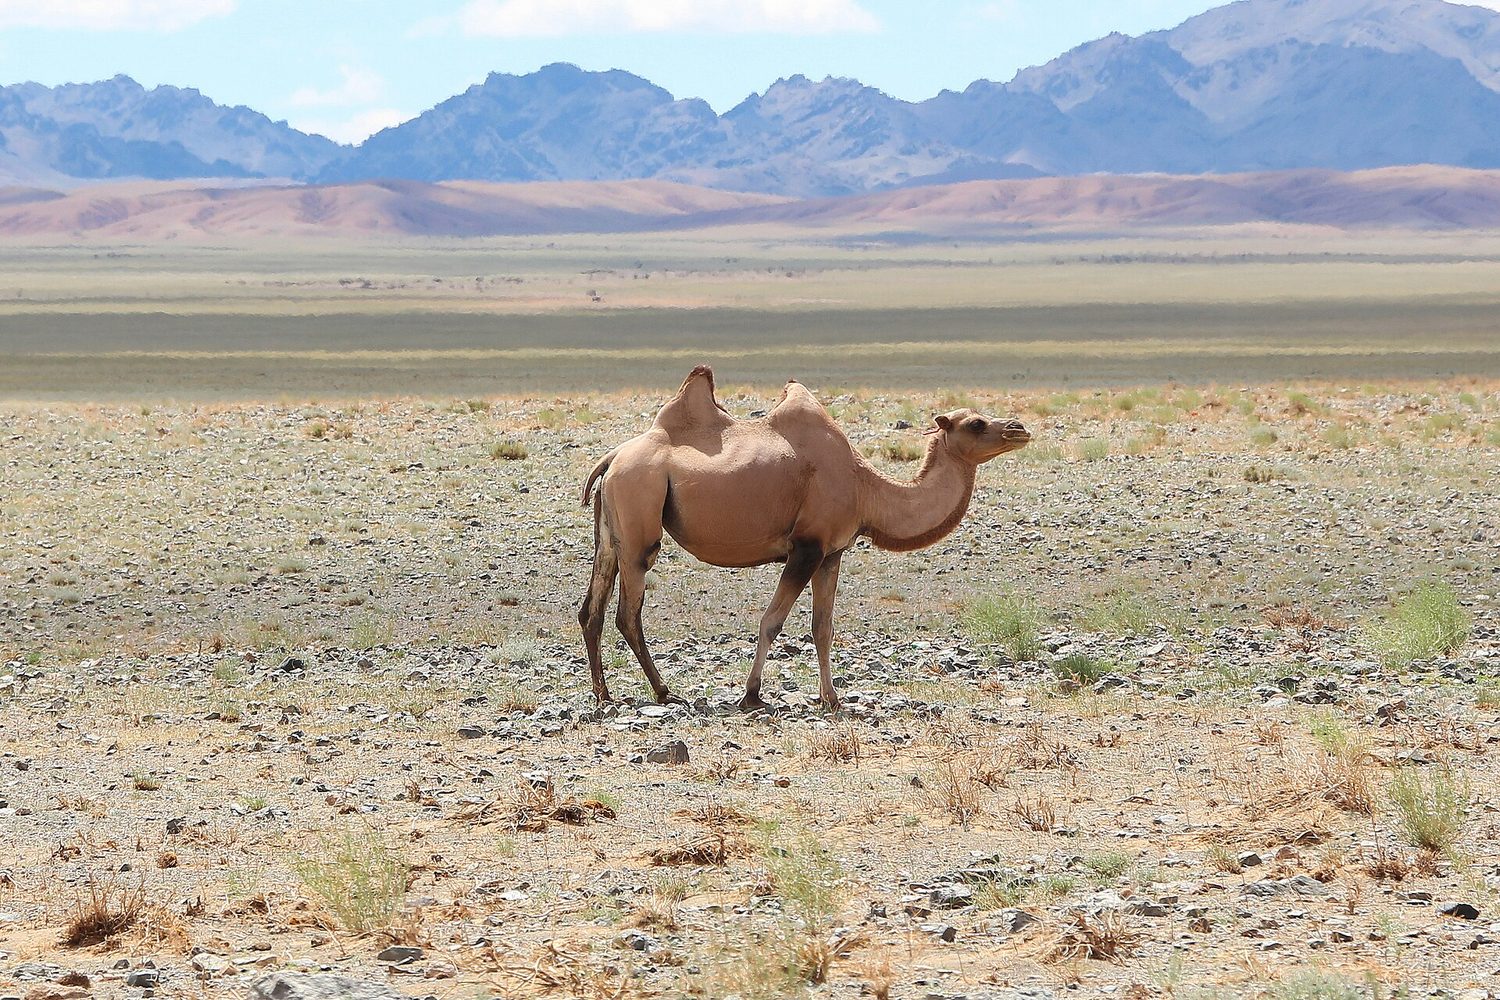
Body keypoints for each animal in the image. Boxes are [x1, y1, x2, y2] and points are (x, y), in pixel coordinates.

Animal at [579, 366, 1031, 711]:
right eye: (976, 423)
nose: (1019, 428)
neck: (865, 487)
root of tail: (613, 457)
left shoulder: (832, 554)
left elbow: (822, 627)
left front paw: (831, 697)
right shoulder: (806, 548)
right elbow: (772, 622)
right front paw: (752, 695)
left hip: (611, 531)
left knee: (592, 609)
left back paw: (604, 695)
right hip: (640, 514)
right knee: (628, 613)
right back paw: (663, 692)